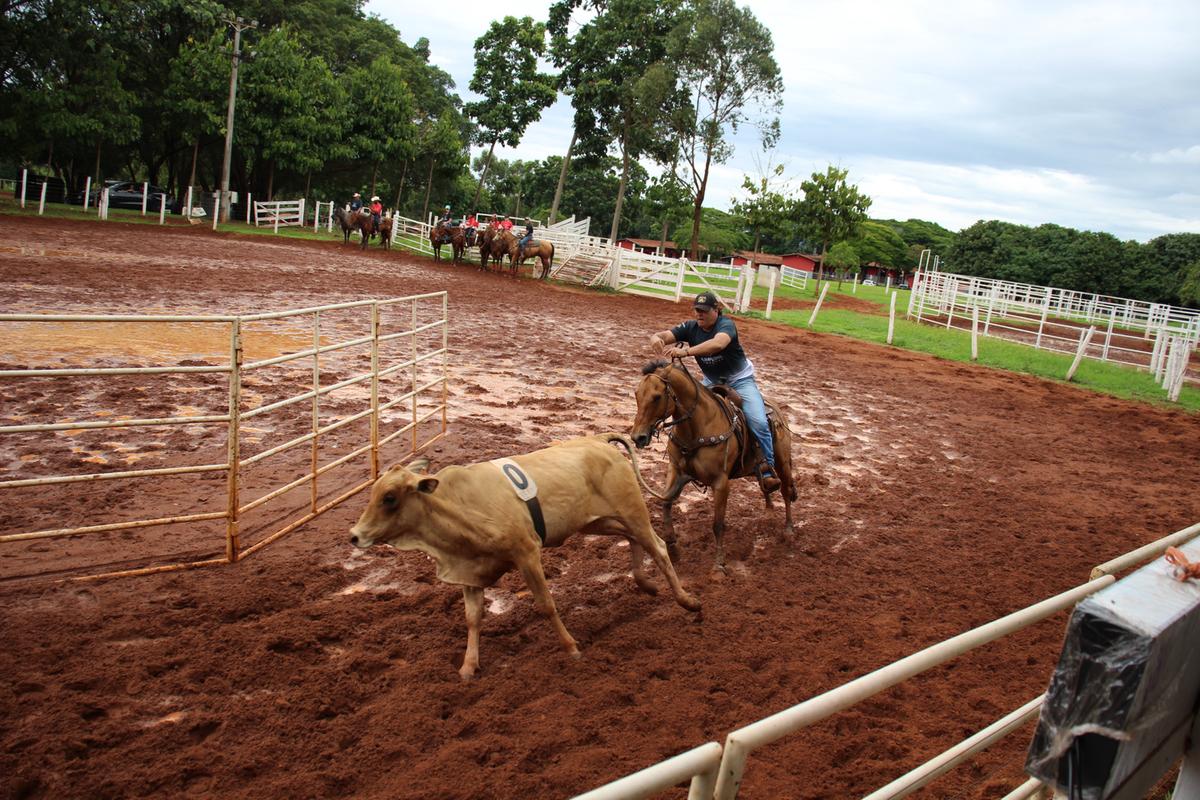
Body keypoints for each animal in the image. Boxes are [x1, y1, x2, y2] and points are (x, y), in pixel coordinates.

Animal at [350, 434, 700, 681]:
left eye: (389, 498)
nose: (355, 535)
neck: (456, 504)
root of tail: (599, 440)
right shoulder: (470, 570)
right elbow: (472, 618)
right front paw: (468, 666)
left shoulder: (527, 552)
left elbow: (546, 605)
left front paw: (571, 648)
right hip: (600, 521)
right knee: (633, 540)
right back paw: (647, 585)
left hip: (632, 510)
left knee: (657, 546)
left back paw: (687, 601)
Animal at [628, 359, 796, 573]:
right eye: (636, 394)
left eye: (657, 397)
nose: (638, 437)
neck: (697, 429)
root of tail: (775, 408)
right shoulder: (677, 471)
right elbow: (665, 503)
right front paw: (673, 549)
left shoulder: (721, 483)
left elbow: (717, 524)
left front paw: (718, 565)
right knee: (764, 482)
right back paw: (768, 509)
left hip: (782, 462)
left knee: (786, 490)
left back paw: (789, 530)